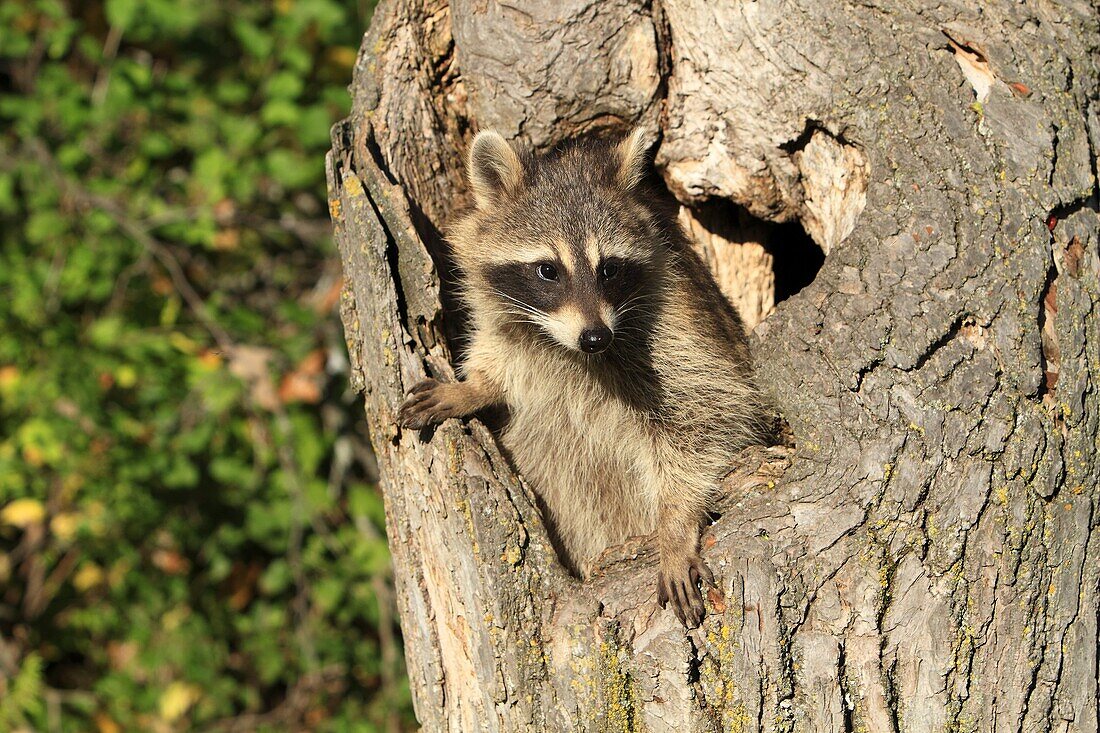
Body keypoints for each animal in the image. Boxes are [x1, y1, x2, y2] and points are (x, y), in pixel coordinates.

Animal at [400, 127, 770, 620]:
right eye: (547, 270)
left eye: (609, 268)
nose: (595, 337)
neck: (571, 353)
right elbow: (501, 357)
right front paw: (472, 386)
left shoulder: (678, 325)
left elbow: (705, 415)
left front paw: (675, 523)